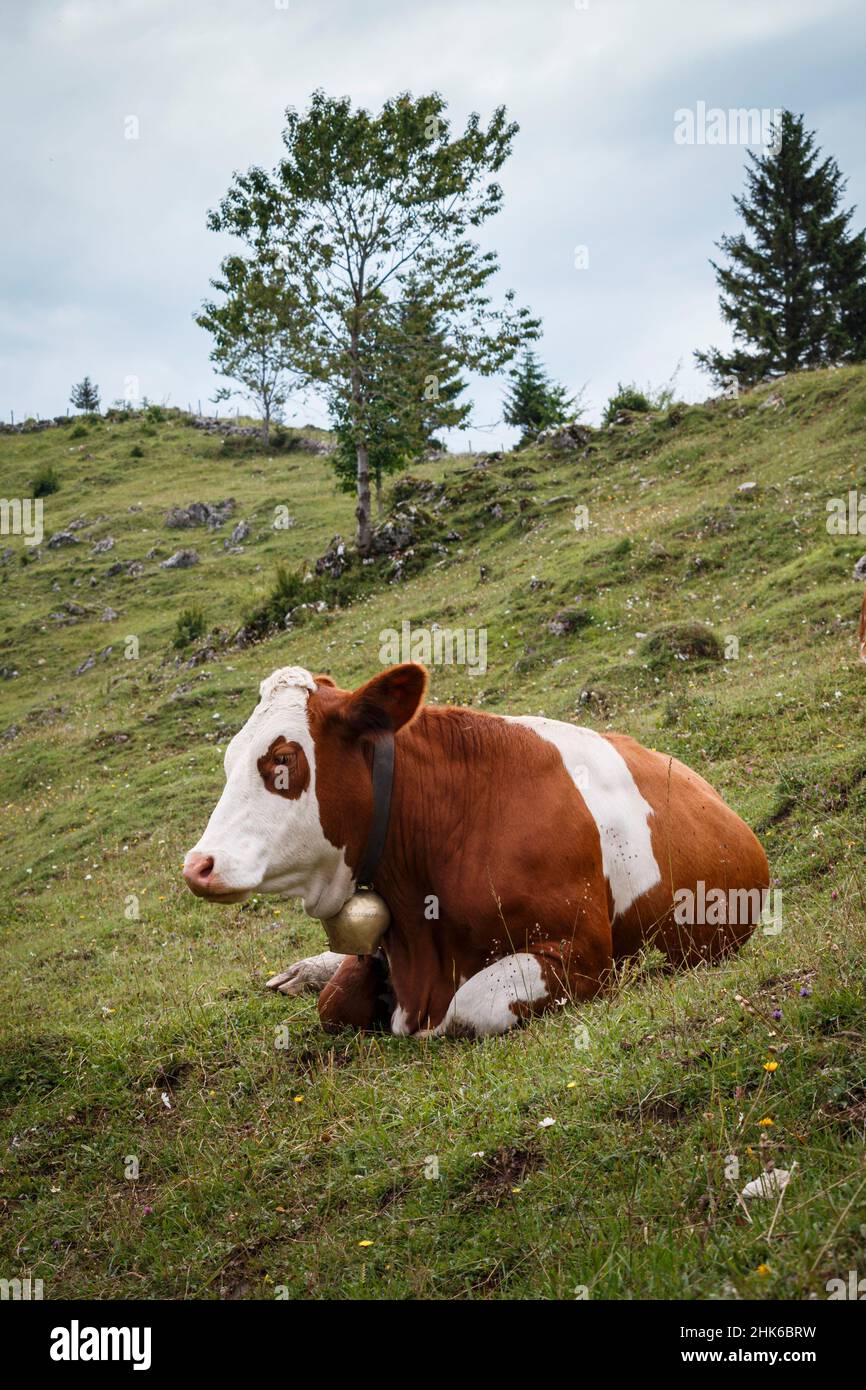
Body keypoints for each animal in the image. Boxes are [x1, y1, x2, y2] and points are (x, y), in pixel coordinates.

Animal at [184, 667, 772, 1039]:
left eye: (283, 759)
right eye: (229, 759)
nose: (197, 866)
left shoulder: (584, 953)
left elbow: (467, 1008)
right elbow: (336, 1002)